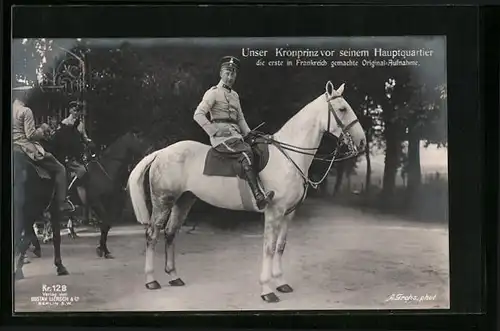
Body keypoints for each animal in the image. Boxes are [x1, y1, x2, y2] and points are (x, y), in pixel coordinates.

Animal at [39, 130, 150, 260]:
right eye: (138, 141)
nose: (148, 152)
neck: (105, 170)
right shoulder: (96, 203)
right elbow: (105, 223)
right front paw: (101, 249)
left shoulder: (107, 204)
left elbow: (106, 225)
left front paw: (104, 250)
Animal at [127, 81, 366, 304]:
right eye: (342, 109)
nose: (362, 141)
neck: (288, 157)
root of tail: (161, 152)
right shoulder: (274, 213)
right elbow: (269, 248)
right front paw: (267, 290)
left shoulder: (288, 214)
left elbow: (280, 246)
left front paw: (281, 283)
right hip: (163, 201)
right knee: (153, 234)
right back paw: (151, 280)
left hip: (184, 201)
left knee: (170, 233)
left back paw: (174, 276)